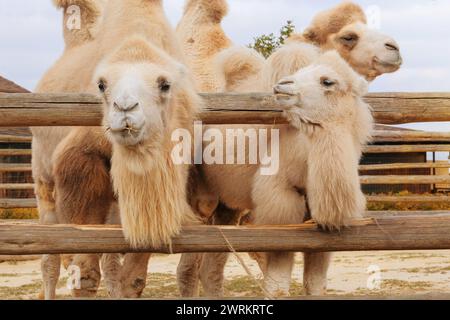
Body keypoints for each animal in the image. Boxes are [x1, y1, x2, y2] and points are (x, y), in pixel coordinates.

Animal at [32, 0, 185, 300]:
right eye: (101, 85)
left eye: (165, 84)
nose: (126, 108)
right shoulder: (80, 158)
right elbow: (86, 273)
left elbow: (133, 274)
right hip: (42, 178)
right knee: (50, 259)